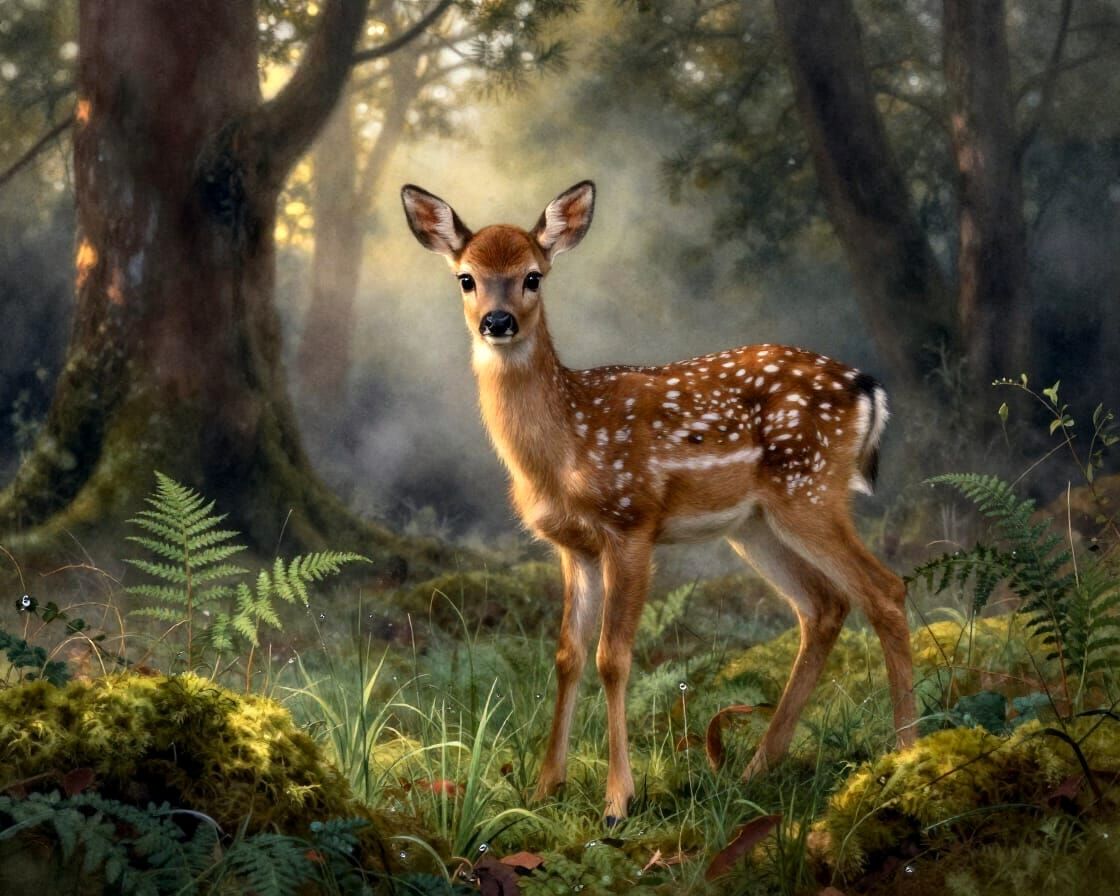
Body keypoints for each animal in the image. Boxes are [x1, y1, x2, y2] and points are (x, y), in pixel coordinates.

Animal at [401, 180, 916, 824]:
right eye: (466, 278)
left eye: (533, 276)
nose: (499, 321)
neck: (564, 446)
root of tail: (865, 387)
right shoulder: (572, 546)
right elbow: (567, 654)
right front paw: (546, 787)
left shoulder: (632, 523)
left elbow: (613, 657)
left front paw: (618, 800)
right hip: (755, 525)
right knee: (823, 606)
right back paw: (754, 769)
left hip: (810, 489)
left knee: (884, 589)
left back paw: (906, 753)